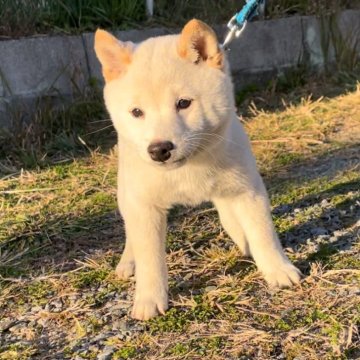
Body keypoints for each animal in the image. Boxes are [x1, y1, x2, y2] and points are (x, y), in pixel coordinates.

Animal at [93, 19, 300, 320]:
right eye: (136, 112)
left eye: (183, 103)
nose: (159, 149)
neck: (188, 168)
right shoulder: (144, 205)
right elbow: (150, 258)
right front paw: (149, 299)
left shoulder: (248, 189)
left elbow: (263, 234)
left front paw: (278, 270)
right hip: (127, 192)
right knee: (132, 232)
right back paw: (128, 261)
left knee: (229, 214)